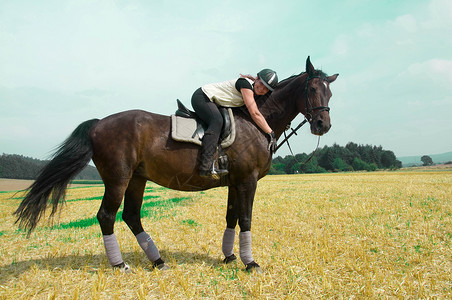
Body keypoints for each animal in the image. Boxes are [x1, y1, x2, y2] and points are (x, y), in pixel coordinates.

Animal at [14, 56, 338, 272]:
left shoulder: (235, 182)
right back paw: (120, 264)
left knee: (131, 216)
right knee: (107, 216)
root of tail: (98, 124)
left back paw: (157, 260)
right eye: (312, 90)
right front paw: (250, 263)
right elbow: (245, 219)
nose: (323, 125)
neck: (256, 120)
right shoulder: (247, 180)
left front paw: (229, 257)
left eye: (330, 92)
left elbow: (231, 218)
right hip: (118, 178)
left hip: (137, 178)